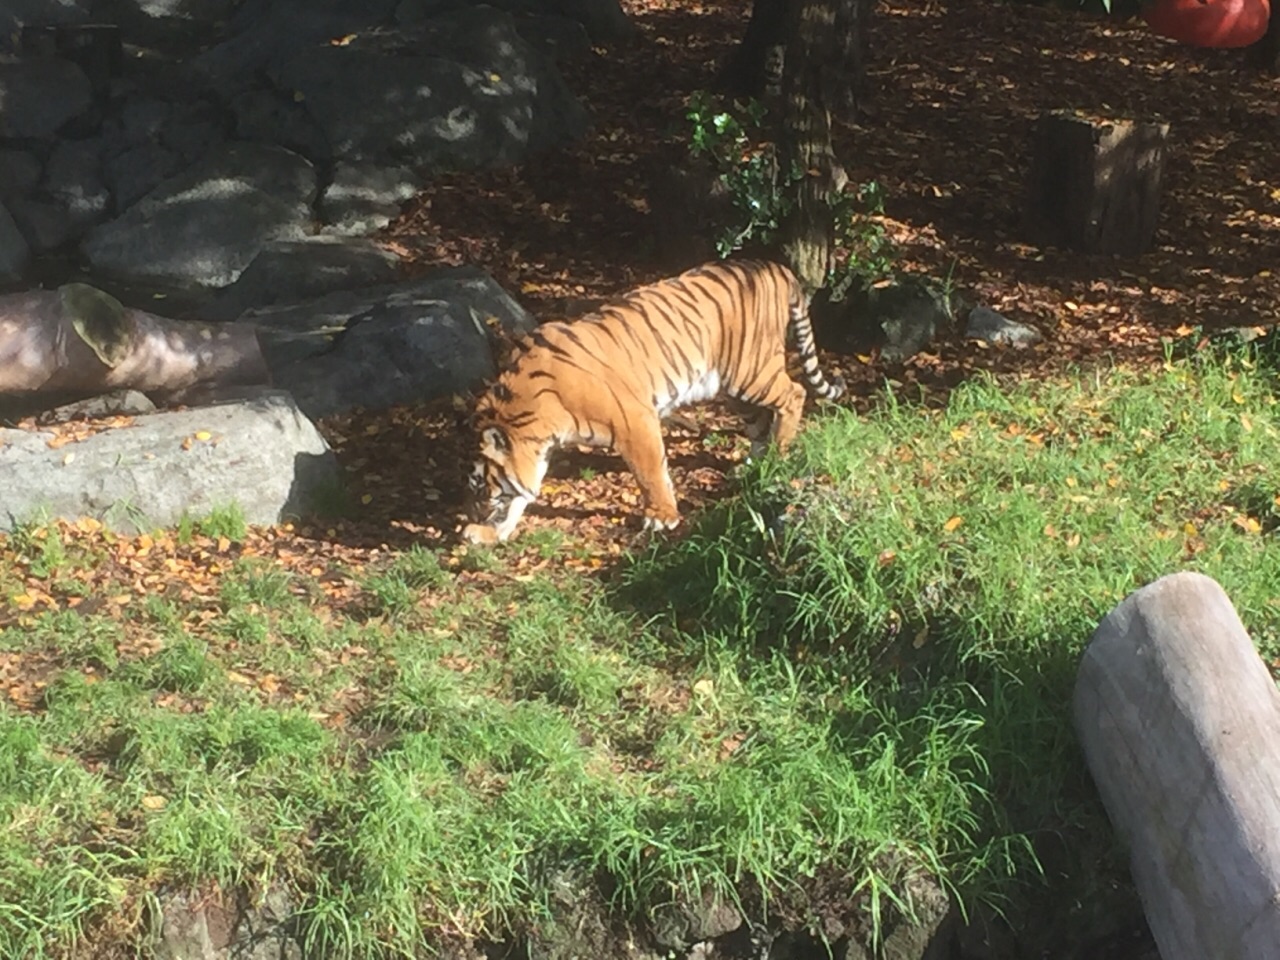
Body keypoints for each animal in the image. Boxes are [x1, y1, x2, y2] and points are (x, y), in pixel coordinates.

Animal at [460, 259, 839, 545]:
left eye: (479, 484)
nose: (471, 513)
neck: (529, 414)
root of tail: (774, 266)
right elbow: (519, 497)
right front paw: (490, 533)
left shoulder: (634, 420)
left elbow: (650, 472)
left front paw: (662, 517)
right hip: (733, 388)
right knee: (759, 422)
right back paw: (755, 465)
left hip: (751, 372)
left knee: (795, 394)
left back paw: (780, 454)